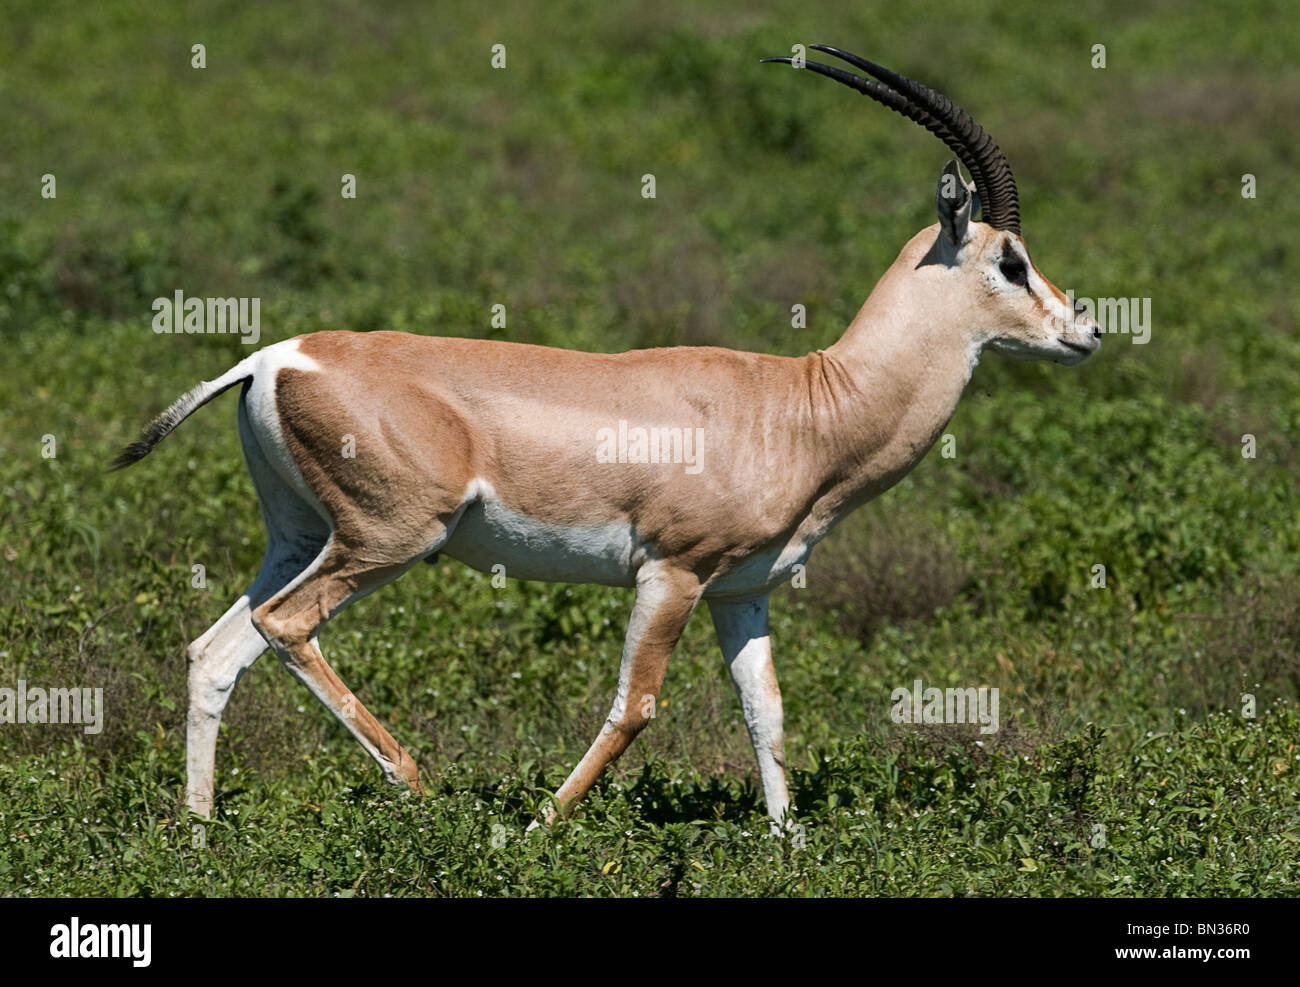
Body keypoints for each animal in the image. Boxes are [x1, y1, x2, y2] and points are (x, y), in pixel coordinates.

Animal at [113, 46, 1099, 826]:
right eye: (1011, 260)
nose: (1086, 330)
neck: (803, 406)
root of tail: (273, 357)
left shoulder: (743, 591)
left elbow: (767, 714)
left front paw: (791, 847)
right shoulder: (672, 572)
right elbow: (636, 706)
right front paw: (533, 829)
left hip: (300, 537)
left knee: (216, 652)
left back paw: (199, 833)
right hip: (389, 540)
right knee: (286, 625)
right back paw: (416, 785)